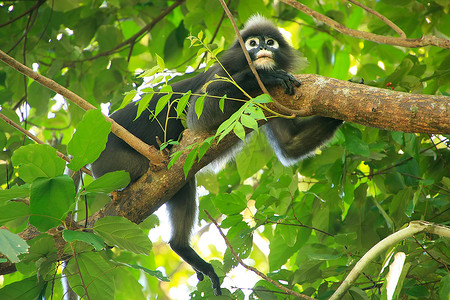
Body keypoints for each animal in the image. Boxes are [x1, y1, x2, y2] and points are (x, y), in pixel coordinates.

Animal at [92, 15, 342, 296]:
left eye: (270, 42)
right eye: (252, 43)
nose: (262, 48)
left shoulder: (276, 102)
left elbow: (290, 145)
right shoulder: (221, 73)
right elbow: (199, 116)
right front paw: (264, 76)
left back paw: (181, 247)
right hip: (115, 163)